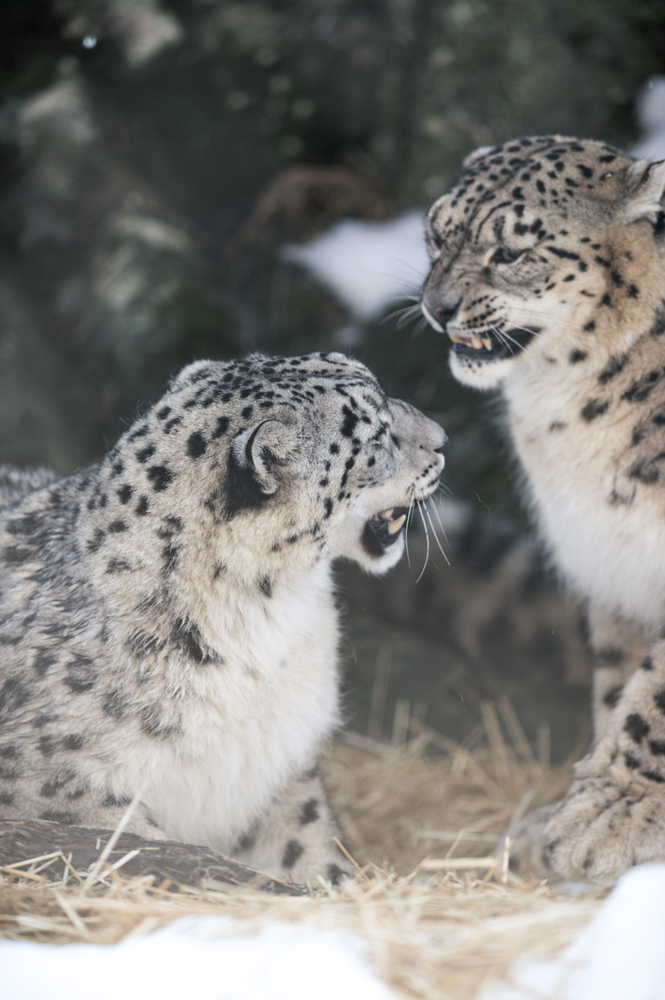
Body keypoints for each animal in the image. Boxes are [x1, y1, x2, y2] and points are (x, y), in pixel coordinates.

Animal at [0, 351, 445, 885]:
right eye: (378, 436)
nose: (443, 439)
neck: (268, 623)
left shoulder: (279, 767)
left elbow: (308, 840)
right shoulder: (49, 785)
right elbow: (135, 843)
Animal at [420, 134, 665, 882]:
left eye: (511, 251)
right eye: (434, 234)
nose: (436, 307)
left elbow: (654, 694)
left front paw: (609, 816)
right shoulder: (616, 571)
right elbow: (616, 687)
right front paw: (556, 829)